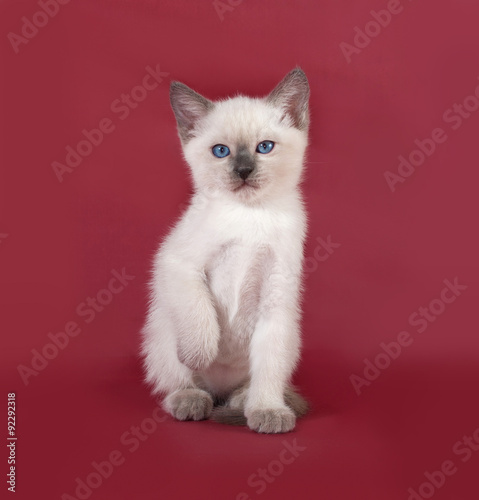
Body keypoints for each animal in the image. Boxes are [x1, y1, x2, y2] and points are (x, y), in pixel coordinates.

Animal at [140, 68, 312, 432]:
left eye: (265, 147)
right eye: (221, 151)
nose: (244, 171)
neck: (248, 215)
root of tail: (219, 390)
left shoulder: (277, 296)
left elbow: (269, 368)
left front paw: (267, 411)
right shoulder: (178, 264)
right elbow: (201, 315)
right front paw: (200, 353)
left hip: (289, 337)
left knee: (248, 386)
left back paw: (243, 402)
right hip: (161, 330)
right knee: (179, 381)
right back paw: (192, 400)